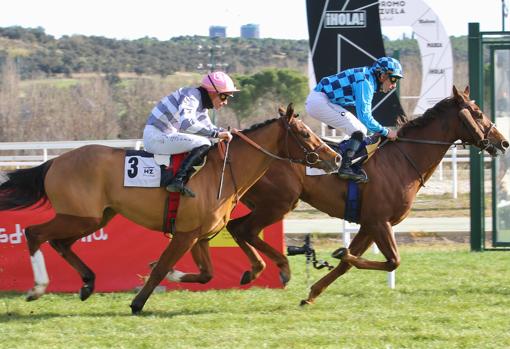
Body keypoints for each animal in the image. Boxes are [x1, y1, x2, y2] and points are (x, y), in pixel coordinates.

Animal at [0, 104, 342, 314]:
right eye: (304, 133)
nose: (336, 158)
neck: (221, 169)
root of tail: (55, 162)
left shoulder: (200, 236)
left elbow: (206, 273)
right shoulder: (185, 234)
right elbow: (163, 267)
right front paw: (138, 301)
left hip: (92, 218)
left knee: (60, 243)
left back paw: (86, 283)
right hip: (80, 216)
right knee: (35, 233)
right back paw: (38, 288)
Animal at [226, 85, 510, 304]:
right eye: (478, 113)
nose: (503, 142)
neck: (402, 160)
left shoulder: (368, 224)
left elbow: (347, 264)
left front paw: (313, 292)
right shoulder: (379, 221)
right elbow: (393, 261)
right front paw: (338, 254)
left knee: (235, 226)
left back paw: (256, 269)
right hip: (280, 202)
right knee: (244, 229)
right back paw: (276, 268)